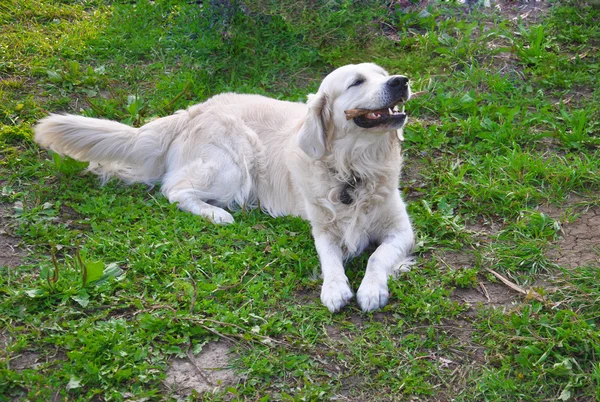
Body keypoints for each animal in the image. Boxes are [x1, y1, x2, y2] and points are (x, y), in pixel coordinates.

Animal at [35, 63, 414, 314]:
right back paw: (218, 215)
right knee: (173, 189)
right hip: (234, 164)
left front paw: (371, 289)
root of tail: (191, 111)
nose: (401, 81)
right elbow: (330, 259)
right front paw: (335, 288)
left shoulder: (402, 230)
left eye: (383, 73)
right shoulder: (322, 229)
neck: (356, 167)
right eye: (357, 82)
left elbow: (377, 256)